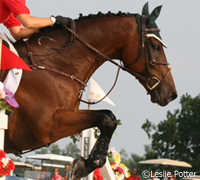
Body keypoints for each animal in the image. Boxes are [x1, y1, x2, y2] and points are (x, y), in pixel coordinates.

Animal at [4, 3, 177, 180]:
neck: (54, 64)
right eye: (156, 47)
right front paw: (87, 164)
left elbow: (109, 116)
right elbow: (106, 119)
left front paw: (87, 163)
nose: (172, 94)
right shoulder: (49, 125)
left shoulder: (68, 114)